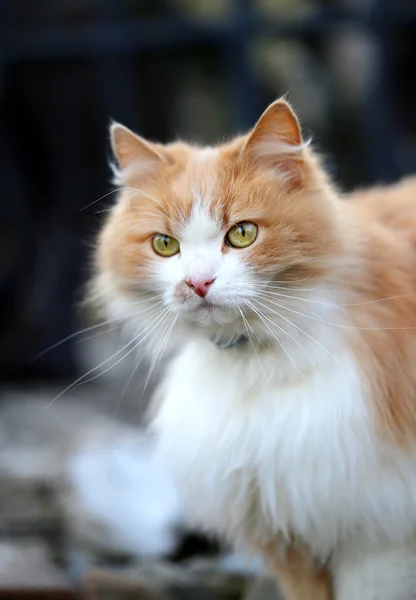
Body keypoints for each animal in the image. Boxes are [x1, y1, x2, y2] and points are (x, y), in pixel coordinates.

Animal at [92, 99, 416, 600]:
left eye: (242, 234)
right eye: (165, 245)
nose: (198, 283)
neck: (251, 366)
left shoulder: (380, 535)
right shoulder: (286, 533)